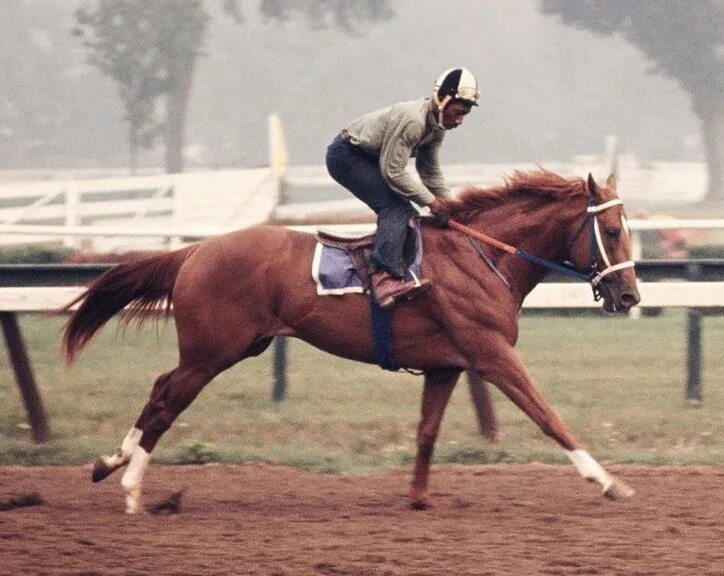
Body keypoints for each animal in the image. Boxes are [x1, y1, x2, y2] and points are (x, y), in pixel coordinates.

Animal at [60, 170, 640, 512]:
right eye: (612, 231)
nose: (630, 295)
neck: (482, 258)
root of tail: (194, 251)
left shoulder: (446, 365)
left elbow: (427, 431)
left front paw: (418, 498)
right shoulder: (492, 354)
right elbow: (548, 415)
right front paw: (608, 480)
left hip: (227, 348)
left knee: (160, 388)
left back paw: (110, 462)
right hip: (212, 353)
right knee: (166, 402)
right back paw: (132, 489)